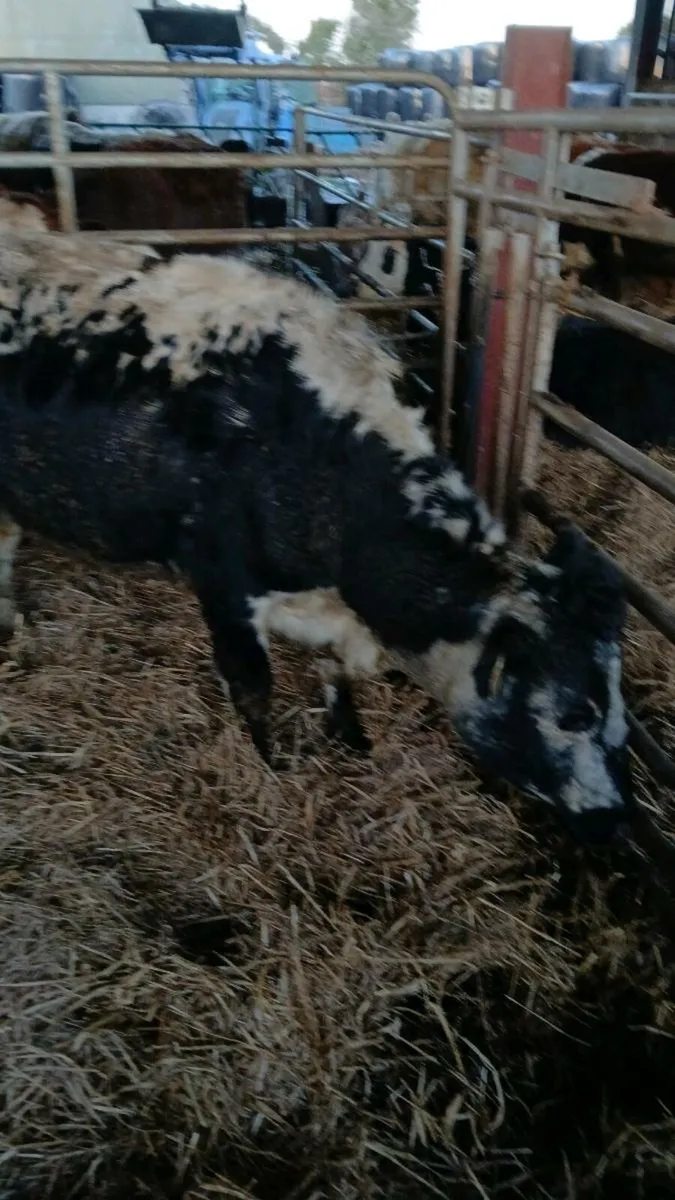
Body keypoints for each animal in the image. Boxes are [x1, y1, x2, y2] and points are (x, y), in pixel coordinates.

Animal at [0, 203, 633, 843]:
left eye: (620, 711)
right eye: (573, 714)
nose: (615, 816)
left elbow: (336, 675)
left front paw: (352, 739)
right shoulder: (224, 586)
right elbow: (254, 687)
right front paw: (271, 763)